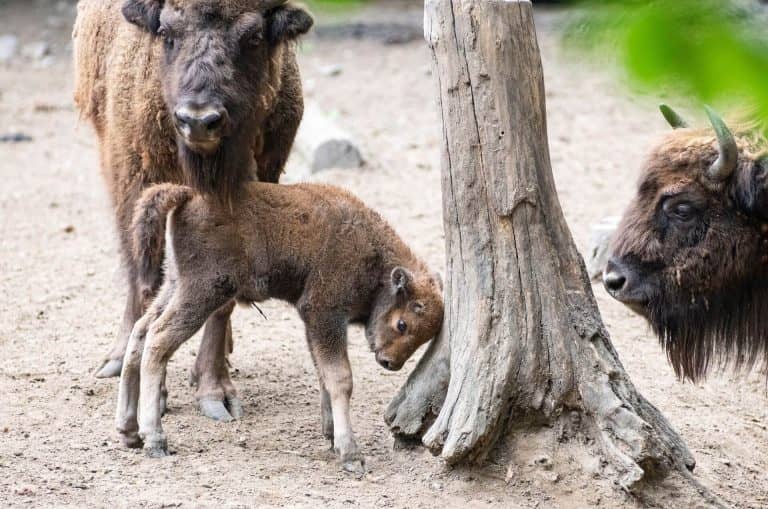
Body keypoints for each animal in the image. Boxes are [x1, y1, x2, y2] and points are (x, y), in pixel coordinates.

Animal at [72, 0, 312, 420]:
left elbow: (222, 299)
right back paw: (116, 359)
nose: (199, 121)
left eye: (253, 37)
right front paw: (151, 390)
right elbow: (147, 282)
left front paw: (215, 392)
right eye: (167, 34)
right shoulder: (136, 184)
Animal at [117, 182, 448, 472]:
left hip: (174, 284)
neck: (372, 253)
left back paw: (128, 430)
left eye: (423, 337)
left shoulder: (314, 325)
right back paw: (155, 440)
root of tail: (189, 194)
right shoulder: (324, 315)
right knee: (157, 341)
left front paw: (331, 436)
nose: (389, 362)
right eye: (402, 324)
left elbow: (323, 375)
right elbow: (340, 378)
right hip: (202, 293)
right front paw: (351, 455)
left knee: (141, 332)